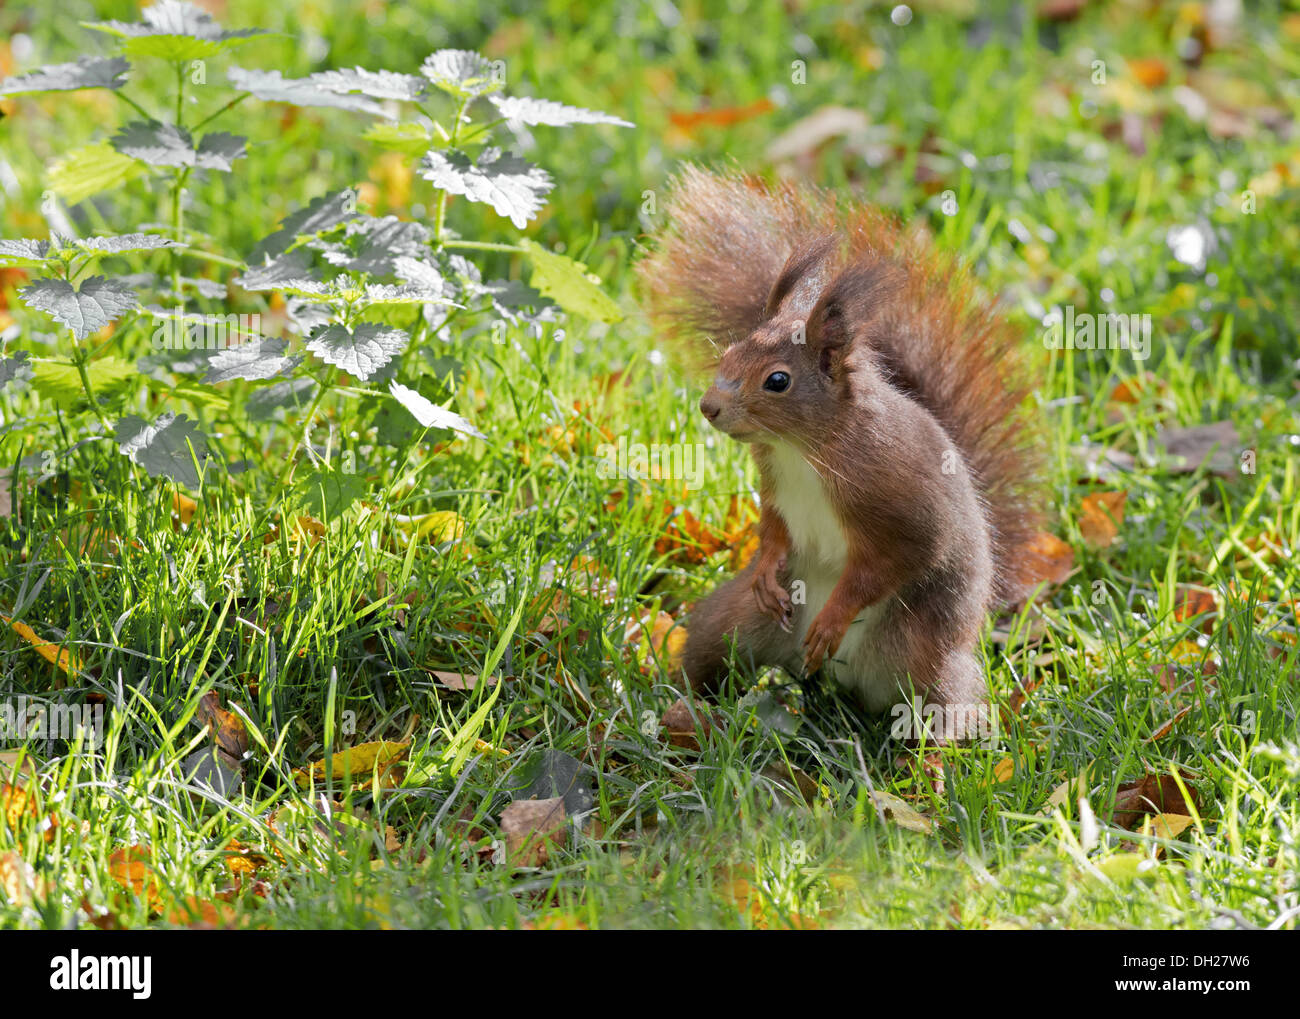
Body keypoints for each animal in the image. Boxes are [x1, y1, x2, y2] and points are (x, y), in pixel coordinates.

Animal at [637, 166, 1047, 739]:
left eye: (778, 381)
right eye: (730, 352)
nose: (709, 407)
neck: (804, 449)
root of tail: (848, 684)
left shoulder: (902, 508)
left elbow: (893, 562)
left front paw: (835, 616)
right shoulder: (775, 488)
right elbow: (774, 529)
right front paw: (766, 570)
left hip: (925, 658)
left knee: (942, 710)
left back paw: (927, 757)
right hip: (735, 623)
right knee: (712, 651)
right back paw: (685, 702)